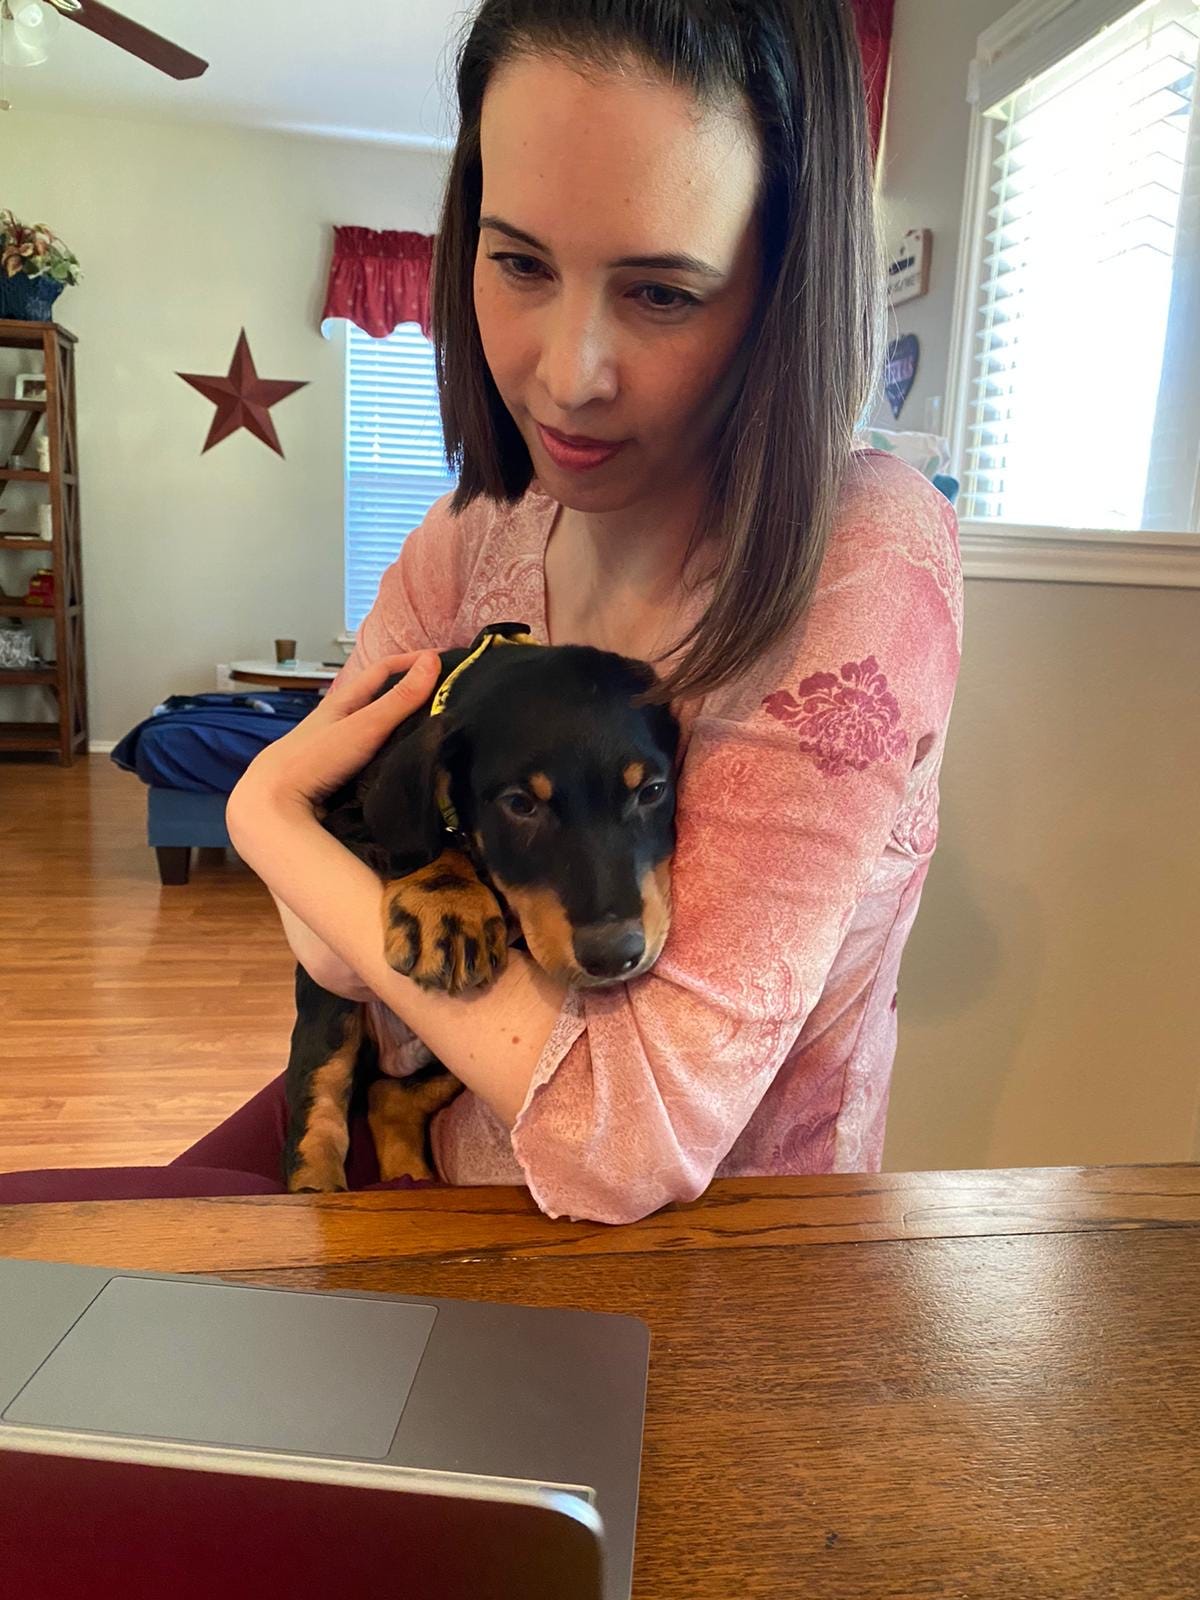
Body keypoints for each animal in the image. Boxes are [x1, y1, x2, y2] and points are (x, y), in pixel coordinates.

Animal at [283, 623, 681, 1193]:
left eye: (652, 790)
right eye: (519, 804)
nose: (614, 955)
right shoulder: (343, 822)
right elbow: (432, 840)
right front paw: (449, 905)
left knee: (387, 1096)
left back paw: (411, 1179)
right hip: (330, 1002)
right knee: (321, 1100)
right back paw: (316, 1188)